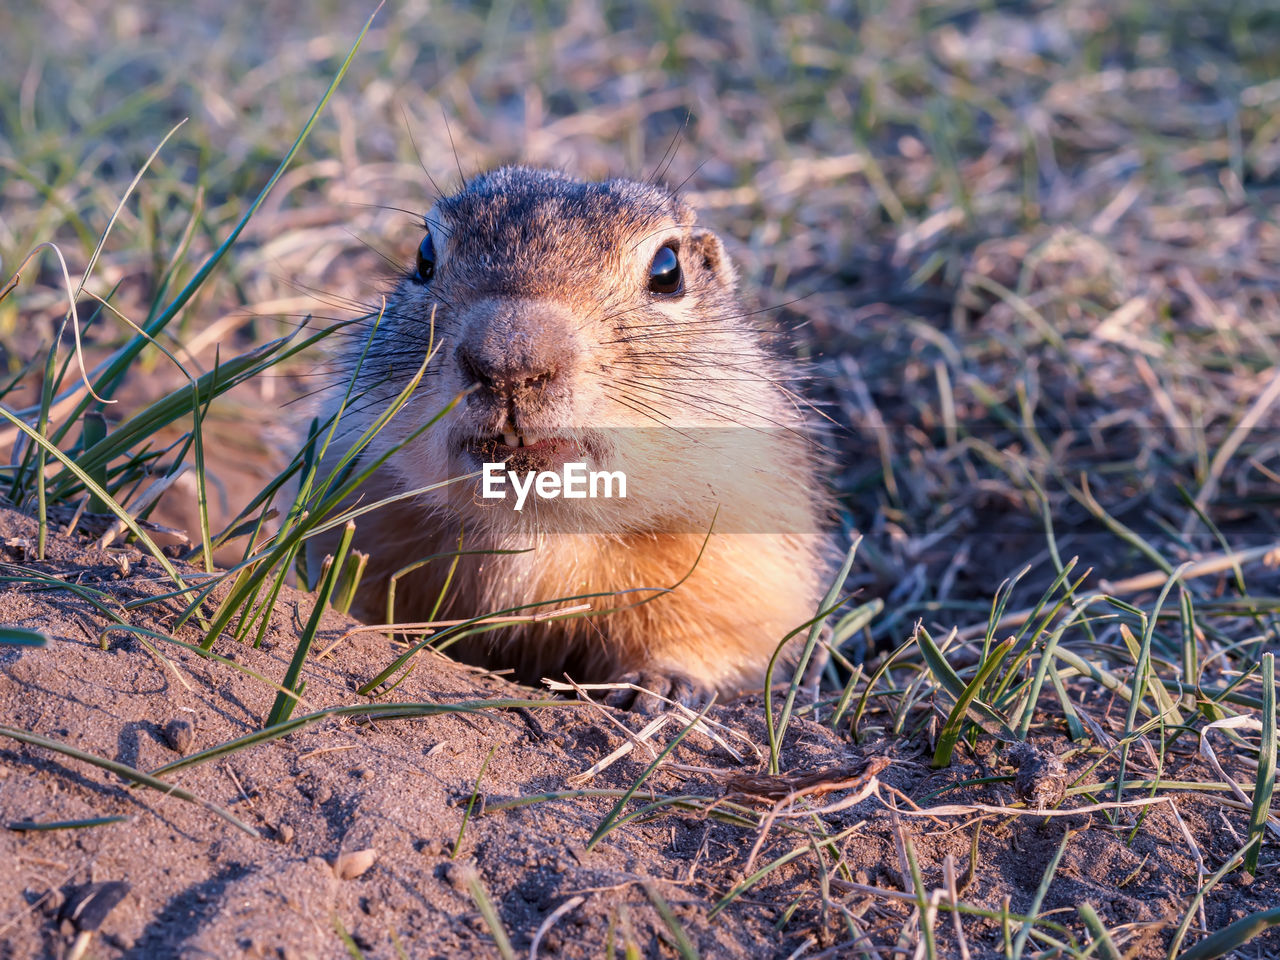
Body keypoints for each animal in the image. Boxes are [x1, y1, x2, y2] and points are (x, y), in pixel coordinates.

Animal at [304, 163, 834, 706]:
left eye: (669, 271)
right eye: (424, 257)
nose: (510, 360)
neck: (533, 532)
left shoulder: (741, 547)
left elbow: (721, 628)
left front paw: (657, 684)